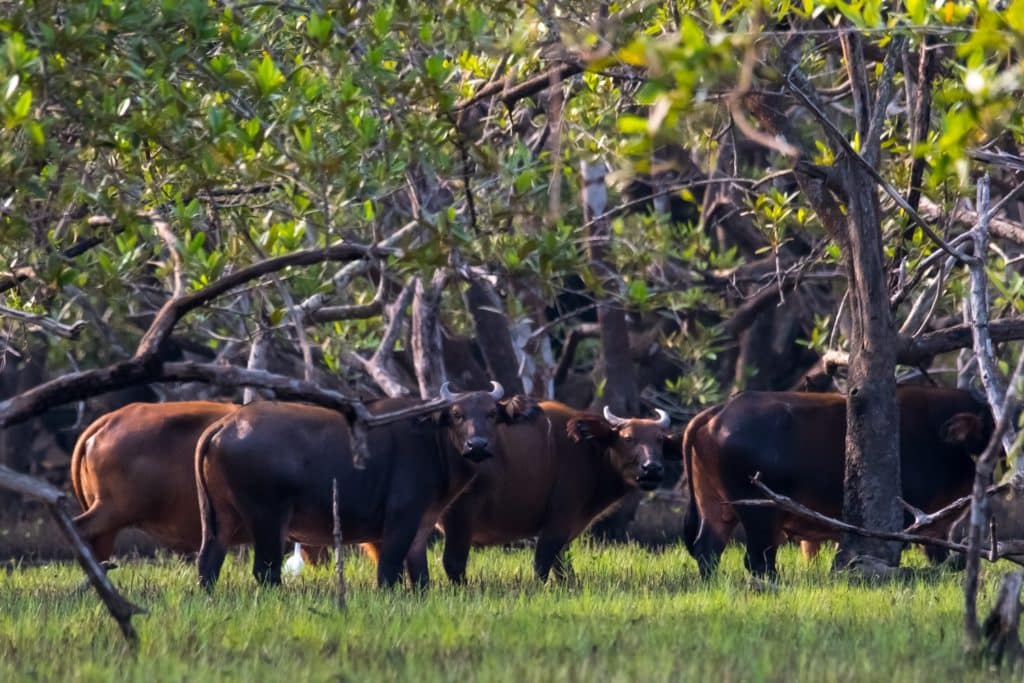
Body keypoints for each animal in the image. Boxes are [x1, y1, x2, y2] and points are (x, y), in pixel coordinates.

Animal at [194, 382, 540, 589]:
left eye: (492, 414)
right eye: (456, 413)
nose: (477, 445)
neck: (432, 441)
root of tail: (225, 423)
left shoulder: (423, 522)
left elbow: (420, 574)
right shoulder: (400, 517)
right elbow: (388, 570)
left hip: (218, 517)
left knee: (208, 561)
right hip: (268, 516)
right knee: (265, 570)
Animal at [679, 385, 991, 577]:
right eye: (987, 425)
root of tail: (718, 412)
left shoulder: (936, 528)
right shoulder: (912, 521)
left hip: (717, 508)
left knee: (707, 551)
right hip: (760, 514)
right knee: (758, 560)